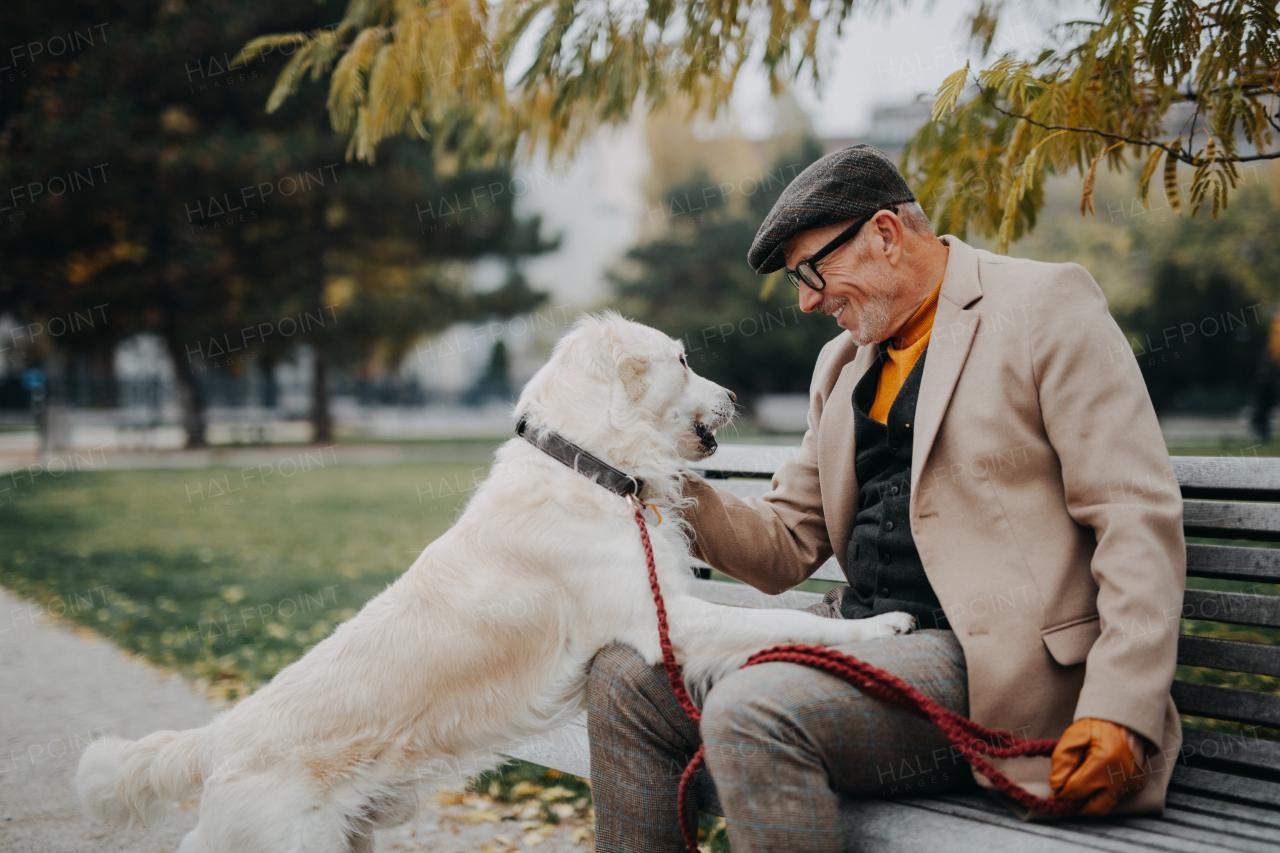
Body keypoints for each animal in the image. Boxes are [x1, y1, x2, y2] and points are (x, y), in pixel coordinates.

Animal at [77, 312, 911, 850]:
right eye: (679, 360)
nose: (736, 397)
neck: (589, 468)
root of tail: (219, 735)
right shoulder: (669, 619)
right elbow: (782, 622)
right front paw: (881, 627)